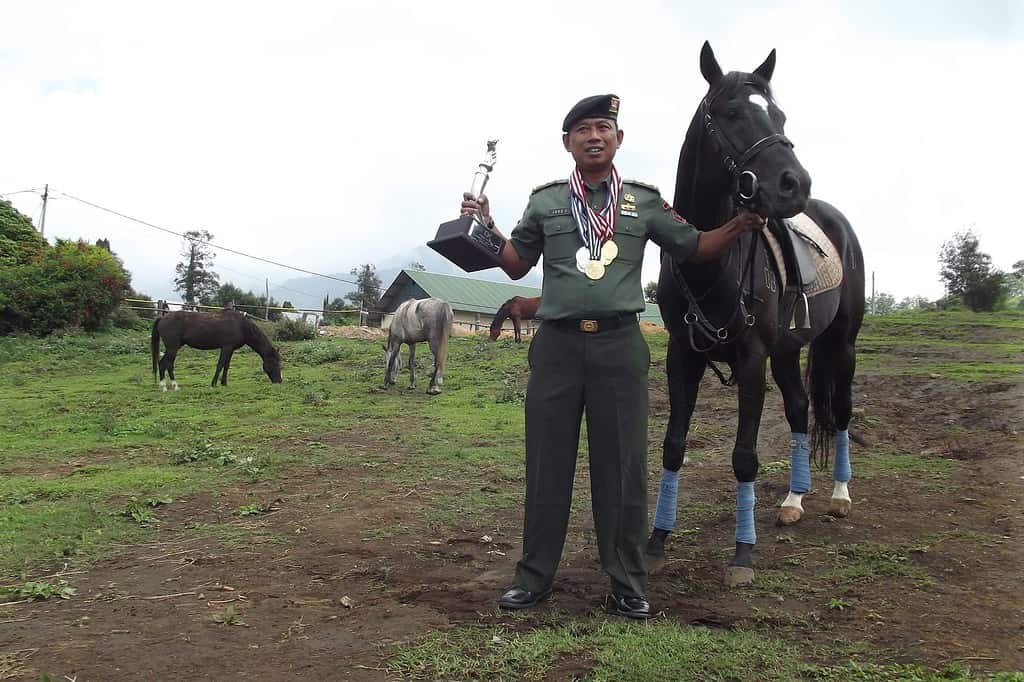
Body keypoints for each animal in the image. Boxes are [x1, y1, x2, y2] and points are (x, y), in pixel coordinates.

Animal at [149, 309, 284, 387]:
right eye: (274, 363)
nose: (279, 381)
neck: (241, 326)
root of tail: (162, 317)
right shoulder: (226, 347)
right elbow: (220, 364)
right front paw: (214, 383)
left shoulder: (231, 349)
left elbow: (226, 366)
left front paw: (224, 383)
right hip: (173, 348)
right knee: (166, 364)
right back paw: (171, 386)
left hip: (173, 348)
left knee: (164, 364)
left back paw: (165, 386)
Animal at [647, 43, 864, 585]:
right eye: (731, 113)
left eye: (779, 115)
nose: (795, 183)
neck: (706, 255)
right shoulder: (682, 355)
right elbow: (673, 445)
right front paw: (657, 540)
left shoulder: (750, 359)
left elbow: (744, 457)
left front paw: (742, 554)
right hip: (786, 353)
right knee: (801, 410)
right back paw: (793, 500)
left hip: (842, 343)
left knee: (841, 411)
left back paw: (838, 495)